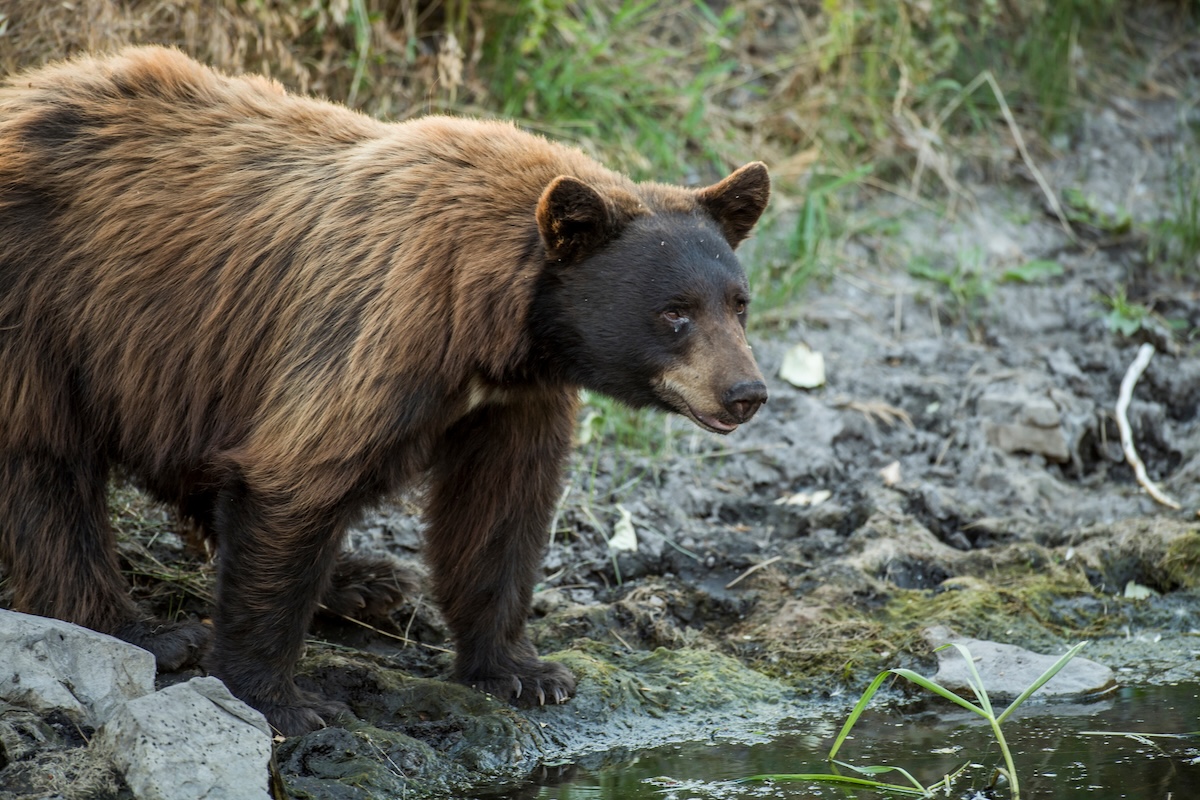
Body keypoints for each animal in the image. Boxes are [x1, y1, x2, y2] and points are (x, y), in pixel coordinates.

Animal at [0, 46, 770, 735]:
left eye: (739, 302)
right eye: (674, 312)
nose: (746, 392)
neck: (496, 325)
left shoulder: (514, 402)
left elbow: (499, 511)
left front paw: (524, 670)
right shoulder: (383, 330)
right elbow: (296, 477)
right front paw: (280, 699)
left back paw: (364, 581)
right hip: (45, 306)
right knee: (46, 470)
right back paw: (141, 630)